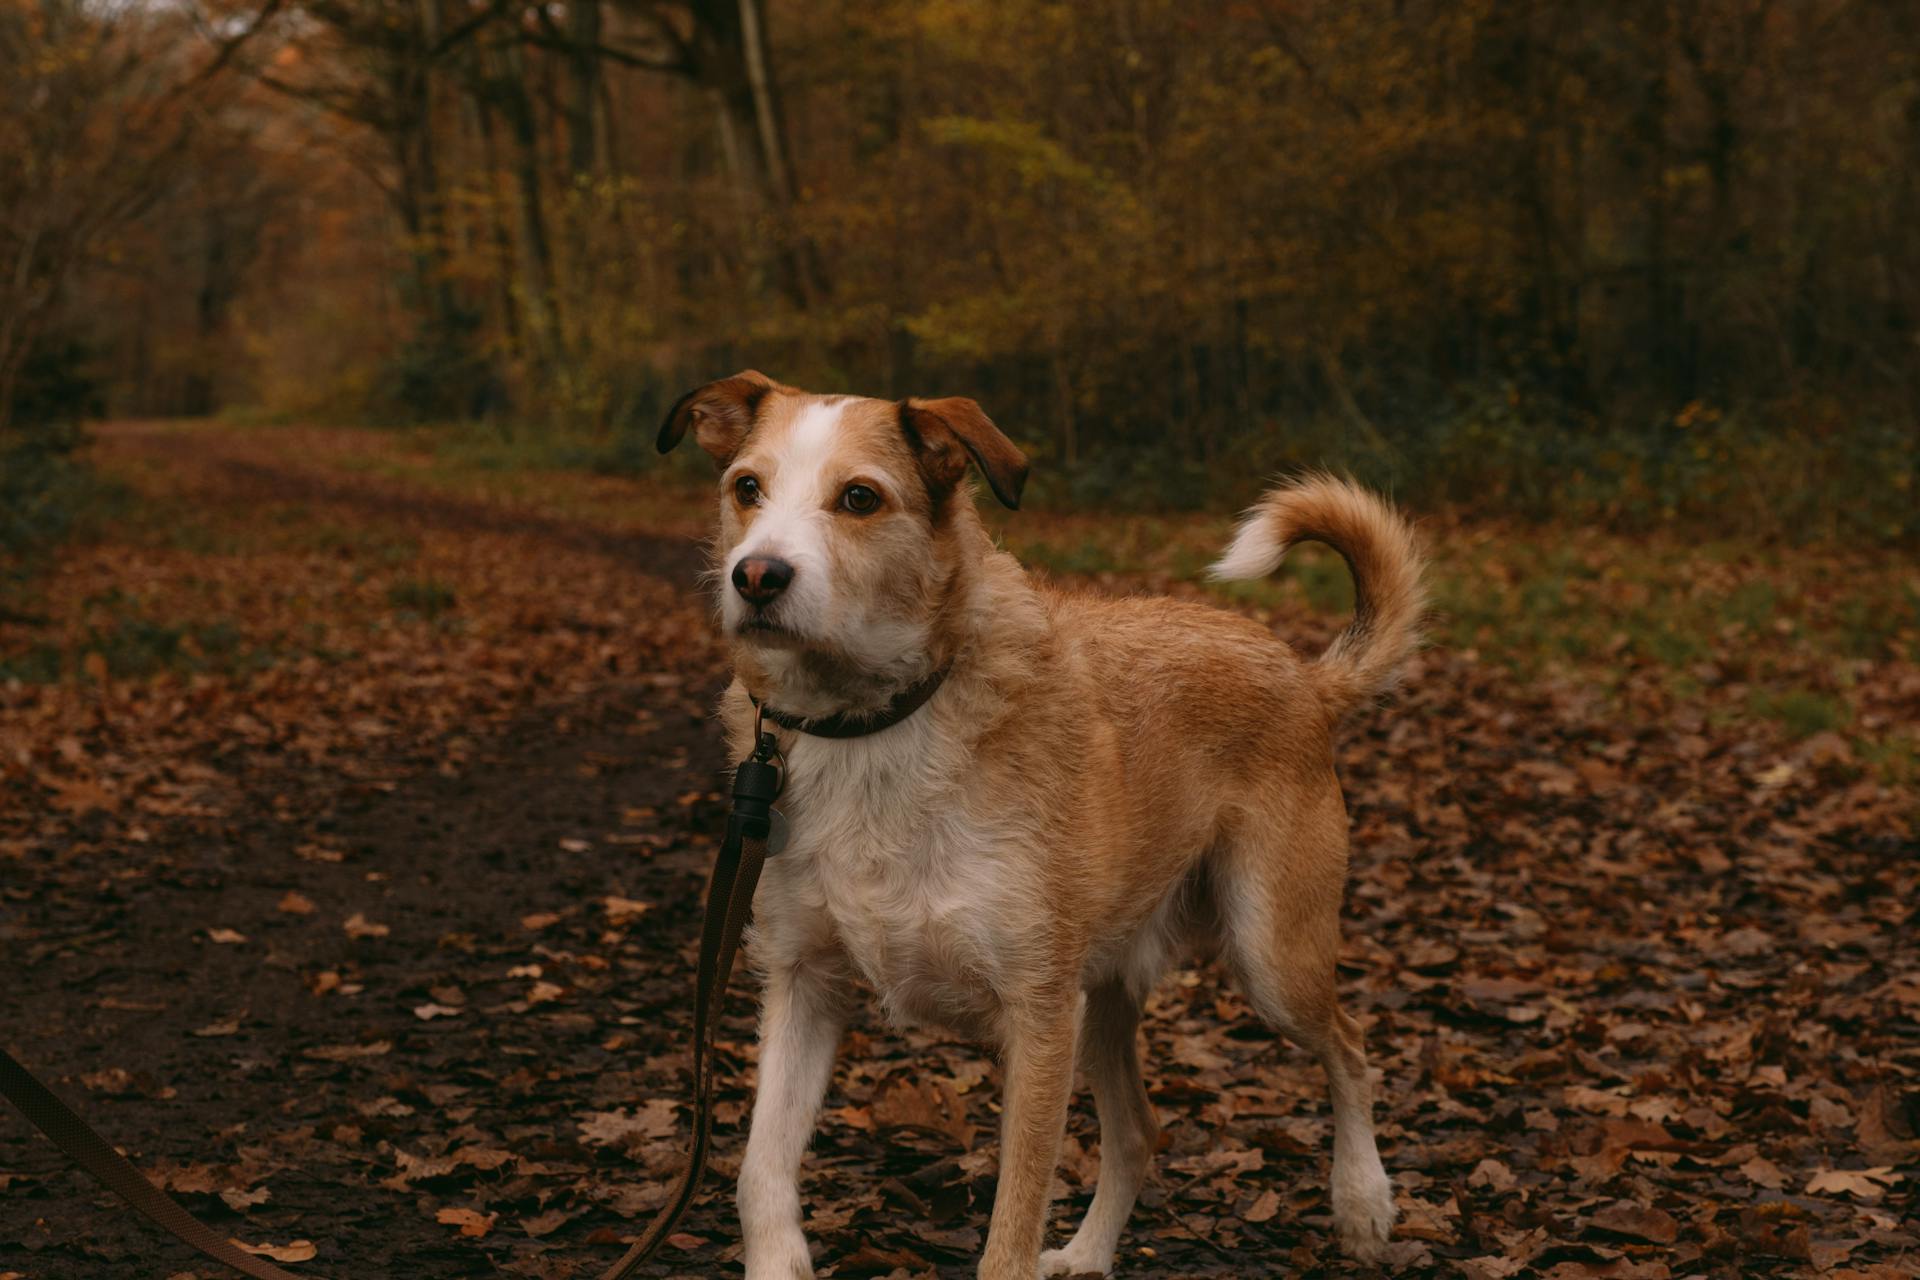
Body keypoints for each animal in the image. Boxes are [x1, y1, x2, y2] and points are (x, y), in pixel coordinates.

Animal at [660, 372, 1428, 1280]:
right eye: (747, 488)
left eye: (859, 498)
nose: (757, 577)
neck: (876, 726)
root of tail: (1306, 679)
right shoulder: (806, 985)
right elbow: (759, 1171)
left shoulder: (1037, 1017)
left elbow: (1012, 1224)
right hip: (1102, 1001)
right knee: (1138, 1135)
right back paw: (1091, 1253)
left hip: (1270, 959)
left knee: (1351, 1047)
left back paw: (1363, 1203)